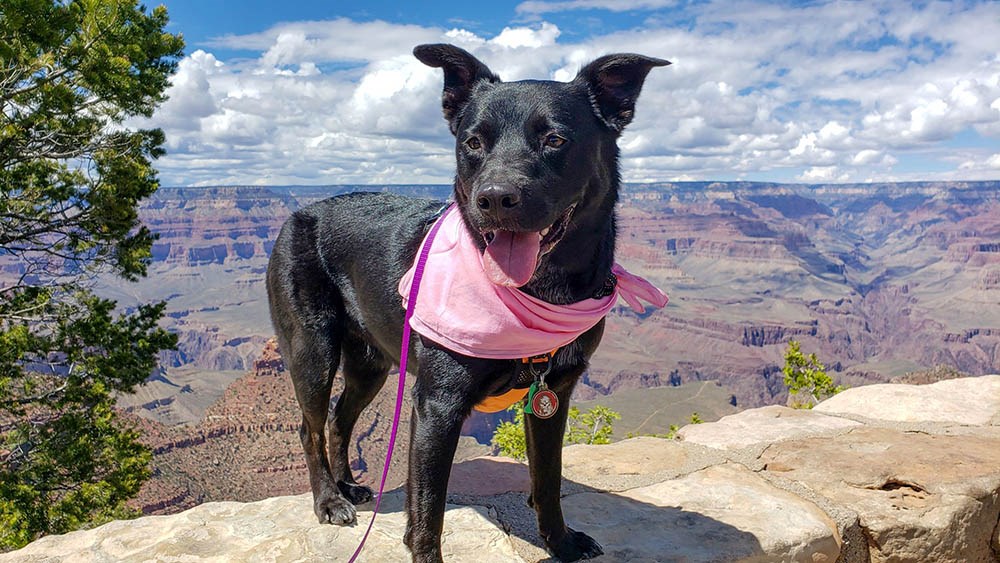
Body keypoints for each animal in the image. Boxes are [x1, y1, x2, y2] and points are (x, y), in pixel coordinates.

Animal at [270, 45, 668, 563]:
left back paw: (347, 485)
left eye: (556, 139)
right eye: (473, 143)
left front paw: (561, 543)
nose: (495, 199)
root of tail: (297, 214)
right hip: (312, 350)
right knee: (310, 426)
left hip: (372, 362)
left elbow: (549, 481)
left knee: (340, 418)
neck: (536, 292)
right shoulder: (437, 407)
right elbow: (427, 516)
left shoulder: (553, 395)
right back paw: (328, 500)